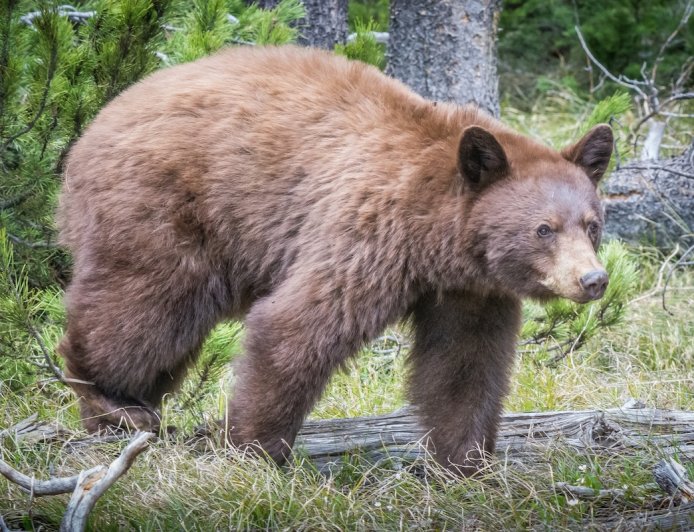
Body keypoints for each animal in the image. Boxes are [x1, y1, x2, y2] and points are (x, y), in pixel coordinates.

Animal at [57, 45, 612, 474]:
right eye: (543, 229)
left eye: (592, 224)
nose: (593, 279)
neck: (438, 239)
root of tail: (97, 120)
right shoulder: (368, 231)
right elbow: (298, 326)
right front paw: (252, 449)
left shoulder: (472, 290)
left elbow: (464, 363)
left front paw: (466, 461)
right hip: (163, 207)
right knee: (144, 308)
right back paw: (111, 404)